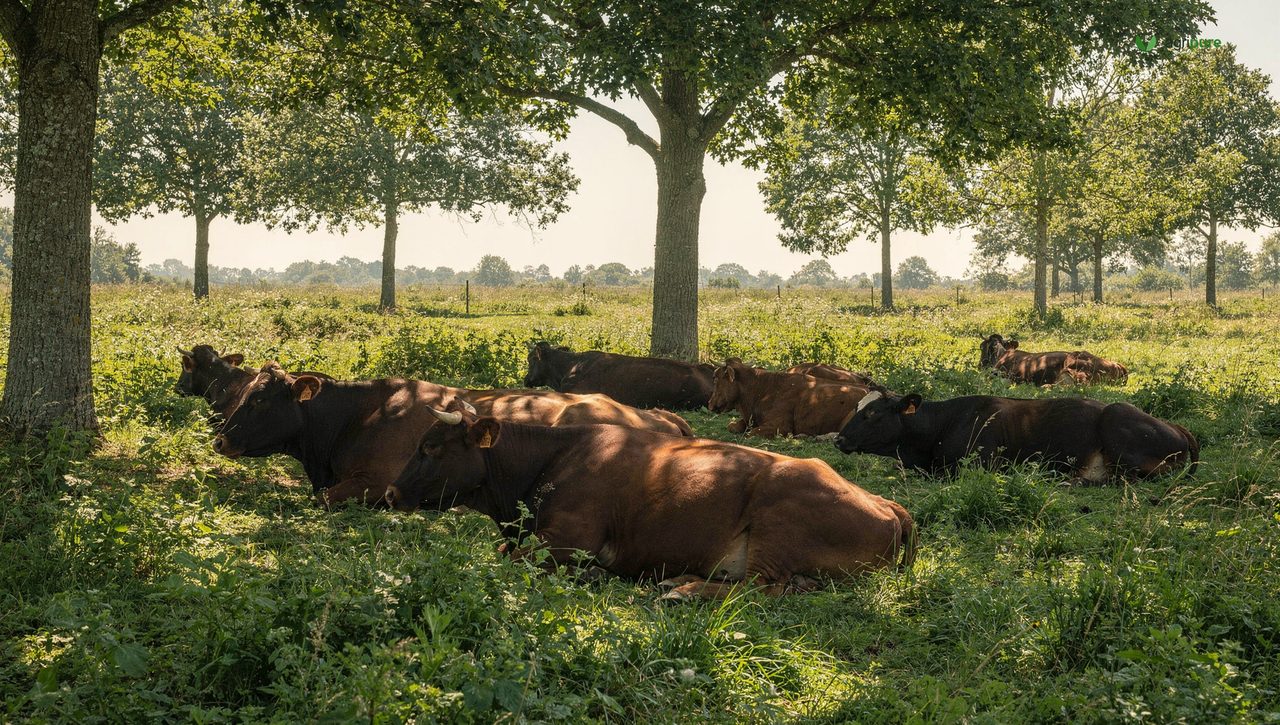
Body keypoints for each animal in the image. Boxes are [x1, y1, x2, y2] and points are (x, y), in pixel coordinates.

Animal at [212, 363, 693, 506]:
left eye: (259, 400)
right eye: (244, 393)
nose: (219, 440)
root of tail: (662, 417)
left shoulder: (374, 481)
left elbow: (328, 499)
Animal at [385, 401, 916, 600]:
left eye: (431, 447)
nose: (390, 492)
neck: (552, 458)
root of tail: (886, 504)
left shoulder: (568, 539)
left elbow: (515, 559)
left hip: (777, 526)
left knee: (763, 588)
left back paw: (685, 590)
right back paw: (679, 579)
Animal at [707, 358, 874, 437]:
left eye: (715, 378)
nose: (710, 404)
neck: (762, 388)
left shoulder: (780, 426)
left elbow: (751, 433)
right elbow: (732, 426)